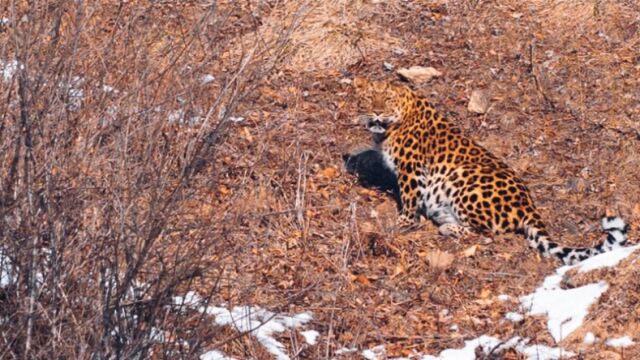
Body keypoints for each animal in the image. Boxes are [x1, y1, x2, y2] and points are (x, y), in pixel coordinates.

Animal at [352, 78, 632, 264]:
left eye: (387, 99)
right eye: (370, 98)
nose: (377, 111)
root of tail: (528, 205)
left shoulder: (411, 169)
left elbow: (410, 200)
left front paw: (402, 223)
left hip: (461, 178)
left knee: (486, 232)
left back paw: (447, 227)